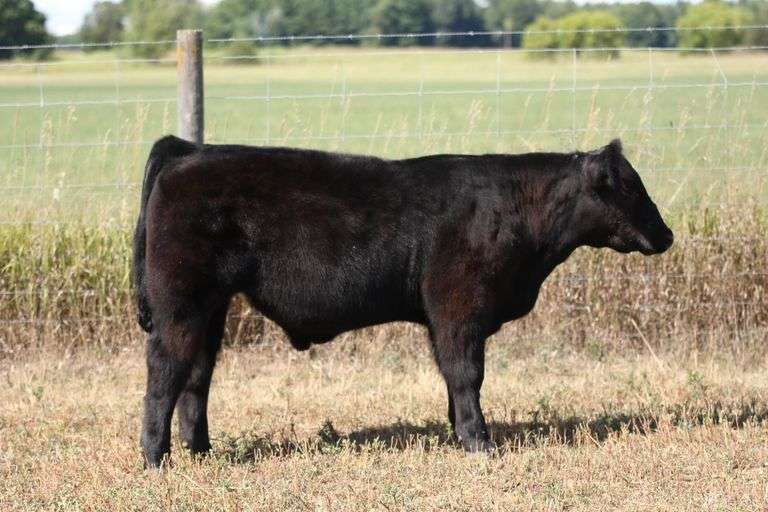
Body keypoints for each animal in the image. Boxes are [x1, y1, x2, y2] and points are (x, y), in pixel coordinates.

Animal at [133, 135, 673, 467]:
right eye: (629, 186)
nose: (666, 235)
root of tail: (190, 151)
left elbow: (454, 380)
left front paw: (459, 432)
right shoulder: (458, 308)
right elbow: (466, 374)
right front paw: (479, 442)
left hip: (211, 308)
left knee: (197, 377)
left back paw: (201, 451)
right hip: (180, 304)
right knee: (166, 372)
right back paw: (156, 459)